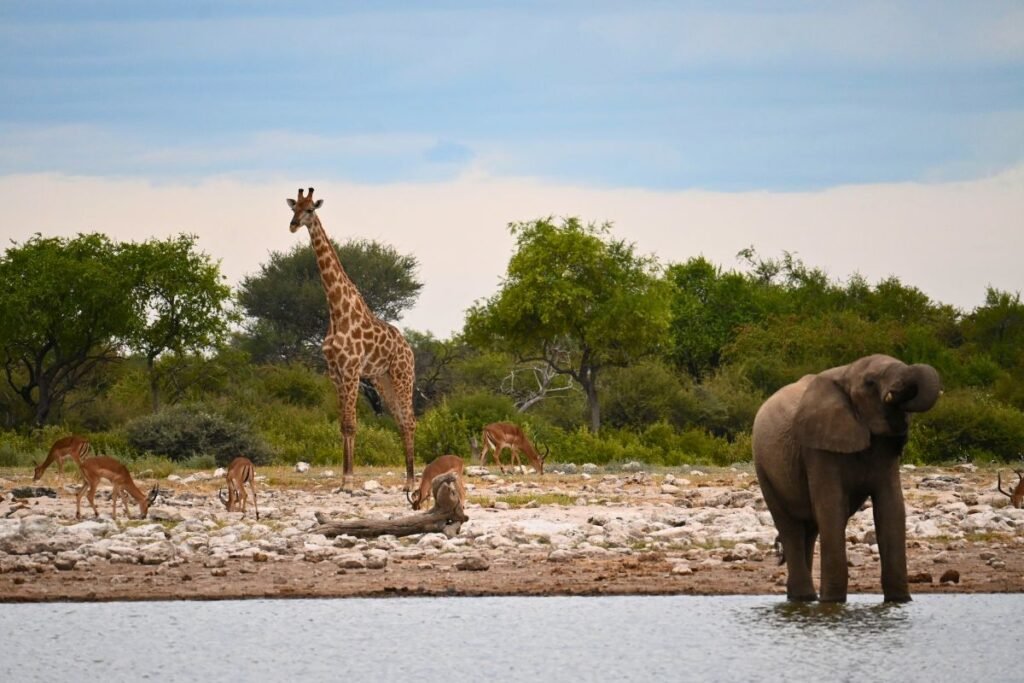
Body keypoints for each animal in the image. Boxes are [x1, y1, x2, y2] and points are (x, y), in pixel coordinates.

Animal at [286, 187, 417, 492]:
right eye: (293, 208)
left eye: (310, 209)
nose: (293, 225)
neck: (336, 310)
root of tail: (409, 350)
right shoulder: (335, 372)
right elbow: (343, 424)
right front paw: (345, 479)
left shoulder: (351, 370)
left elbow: (351, 424)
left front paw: (348, 482)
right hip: (384, 381)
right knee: (401, 420)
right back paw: (408, 479)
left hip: (403, 376)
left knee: (410, 421)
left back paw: (411, 482)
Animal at [752, 354, 941, 603]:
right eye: (870, 382)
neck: (848, 372)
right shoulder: (817, 447)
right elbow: (831, 508)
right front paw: (832, 602)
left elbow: (891, 509)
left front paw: (900, 601)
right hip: (764, 467)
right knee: (790, 526)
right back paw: (805, 596)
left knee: (810, 528)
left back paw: (802, 599)